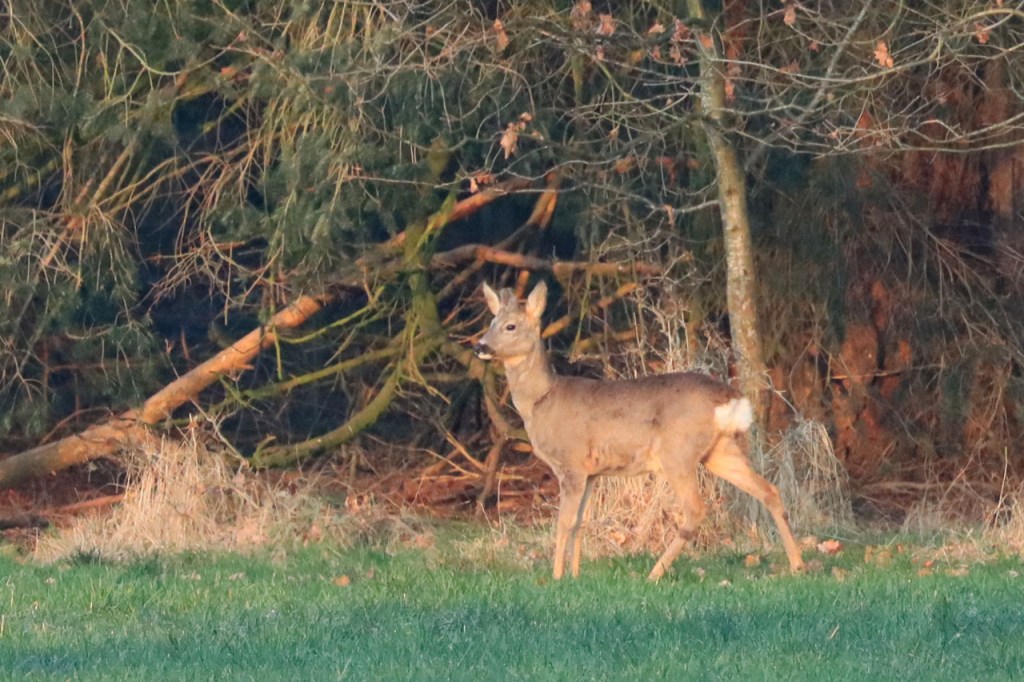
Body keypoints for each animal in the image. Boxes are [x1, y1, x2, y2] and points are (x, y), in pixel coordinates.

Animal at [474, 281, 805, 581]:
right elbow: (581, 521)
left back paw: (653, 574)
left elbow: (564, 523)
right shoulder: (592, 472)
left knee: (695, 509)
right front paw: (575, 576)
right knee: (769, 490)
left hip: (677, 452)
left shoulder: (571, 463)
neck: (542, 400)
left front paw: (555, 578)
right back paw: (797, 565)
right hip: (719, 450)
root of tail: (730, 399)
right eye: (491, 322)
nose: (480, 346)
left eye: (511, 326)